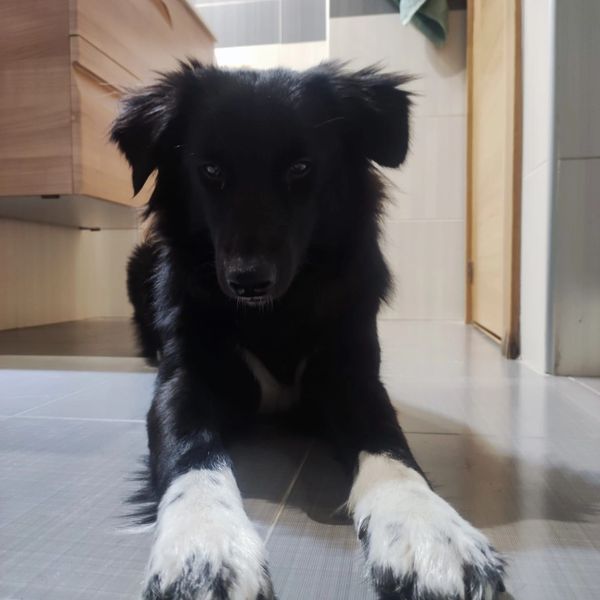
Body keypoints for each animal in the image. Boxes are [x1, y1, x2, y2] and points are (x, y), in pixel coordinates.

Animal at [112, 60, 505, 600]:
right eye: (210, 170)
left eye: (300, 168)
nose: (248, 280)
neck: (275, 312)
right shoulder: (183, 381)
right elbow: (192, 454)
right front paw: (204, 548)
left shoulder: (351, 375)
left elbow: (390, 447)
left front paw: (430, 533)